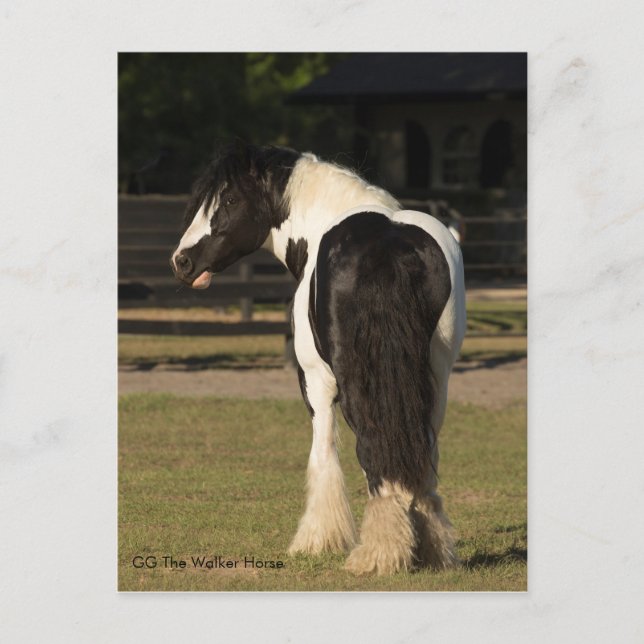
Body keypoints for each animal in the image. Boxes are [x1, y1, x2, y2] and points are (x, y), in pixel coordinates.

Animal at [170, 143, 466, 575]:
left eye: (228, 200)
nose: (182, 261)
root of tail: (387, 247)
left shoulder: (315, 381)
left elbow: (323, 453)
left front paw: (316, 540)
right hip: (437, 376)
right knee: (422, 448)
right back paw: (429, 548)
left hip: (357, 380)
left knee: (372, 447)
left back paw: (378, 553)